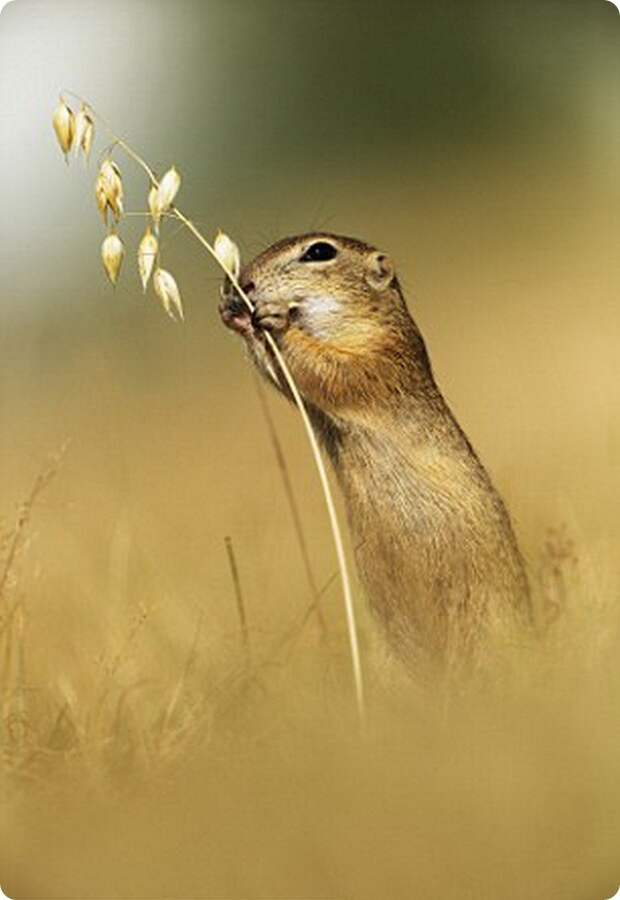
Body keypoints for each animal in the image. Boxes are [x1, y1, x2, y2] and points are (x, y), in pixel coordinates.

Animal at [219, 232, 532, 676]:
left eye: (319, 251)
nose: (242, 282)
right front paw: (235, 315)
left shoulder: (380, 355)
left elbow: (328, 368)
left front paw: (274, 318)